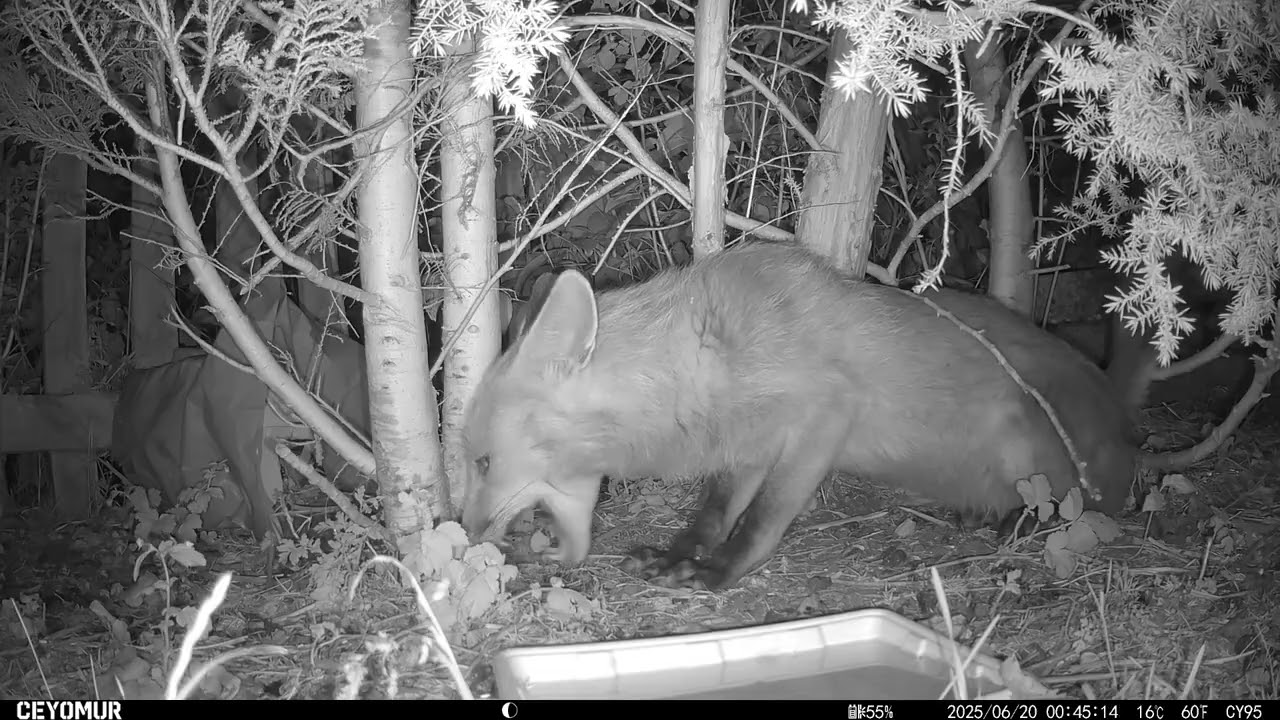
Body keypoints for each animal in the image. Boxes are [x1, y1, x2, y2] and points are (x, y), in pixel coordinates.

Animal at [460, 241, 1141, 591]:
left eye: (483, 461)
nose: (462, 532)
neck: (710, 352)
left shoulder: (824, 416)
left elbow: (761, 521)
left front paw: (717, 572)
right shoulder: (749, 442)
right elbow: (716, 511)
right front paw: (680, 555)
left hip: (1027, 430)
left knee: (1077, 511)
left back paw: (1021, 523)